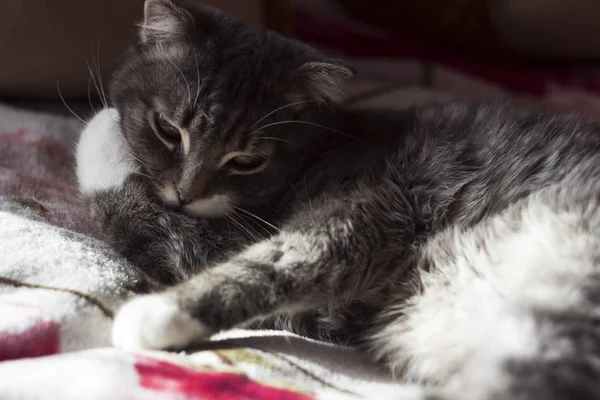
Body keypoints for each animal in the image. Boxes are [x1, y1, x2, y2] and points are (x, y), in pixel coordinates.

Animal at [76, 1, 600, 398]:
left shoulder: (375, 212)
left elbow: (271, 260)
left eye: (246, 161)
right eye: (168, 130)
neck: (324, 146)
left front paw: (156, 314)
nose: (186, 193)